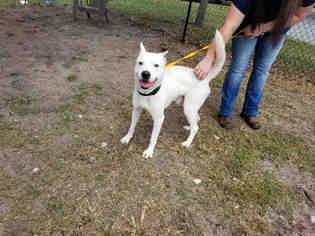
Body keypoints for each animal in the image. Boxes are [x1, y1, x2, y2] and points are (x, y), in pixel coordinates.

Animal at [121, 30, 227, 159]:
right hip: (189, 108)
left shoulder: (159, 119)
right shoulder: (136, 110)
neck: (148, 94)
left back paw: (187, 142)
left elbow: (153, 138)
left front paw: (149, 151)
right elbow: (132, 127)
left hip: (188, 107)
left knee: (196, 127)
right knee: (196, 119)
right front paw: (127, 138)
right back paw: (189, 127)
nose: (145, 74)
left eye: (156, 65)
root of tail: (205, 78)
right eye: (140, 63)